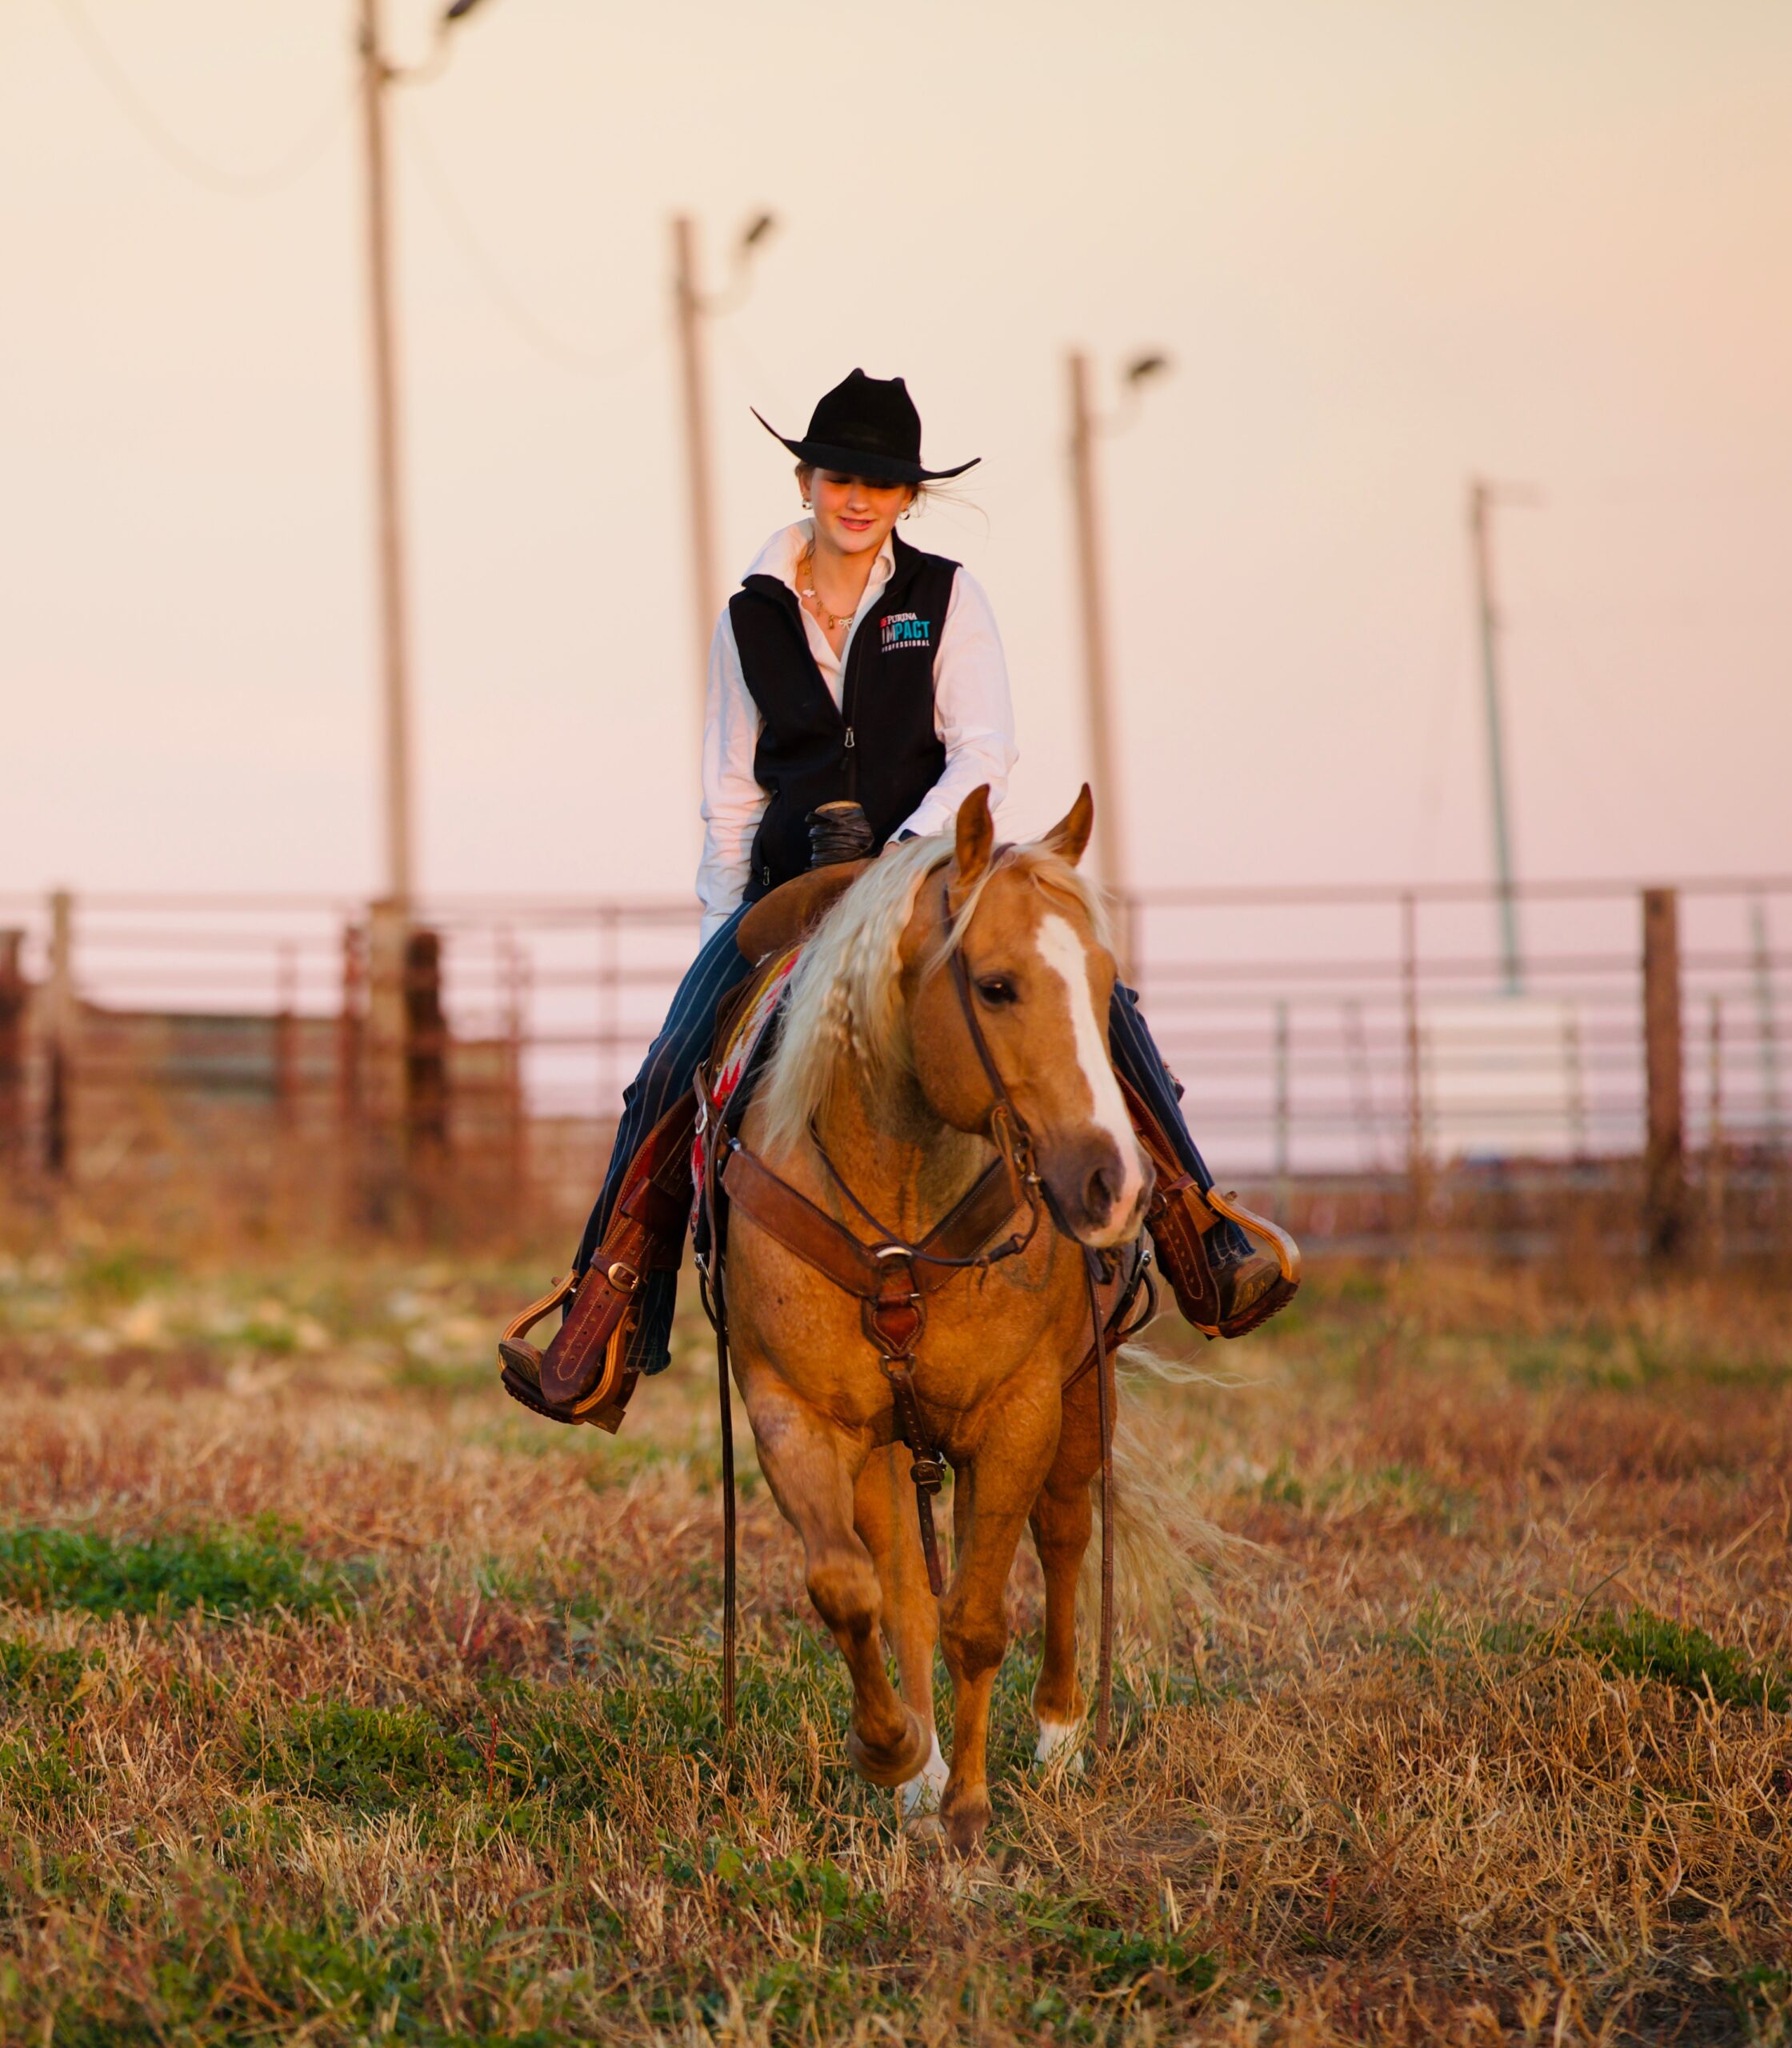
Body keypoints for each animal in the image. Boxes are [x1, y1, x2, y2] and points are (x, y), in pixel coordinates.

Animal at [715, 783, 1158, 1856]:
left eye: (1102, 983)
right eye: (994, 987)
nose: (1115, 1185)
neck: (901, 1206)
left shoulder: (1017, 1415)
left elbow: (980, 1618)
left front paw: (967, 1808)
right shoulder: (796, 1412)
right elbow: (853, 1588)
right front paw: (894, 1757)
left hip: (1081, 1400)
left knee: (1064, 1533)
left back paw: (1059, 1737)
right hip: (889, 1444)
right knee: (906, 1589)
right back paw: (917, 1772)